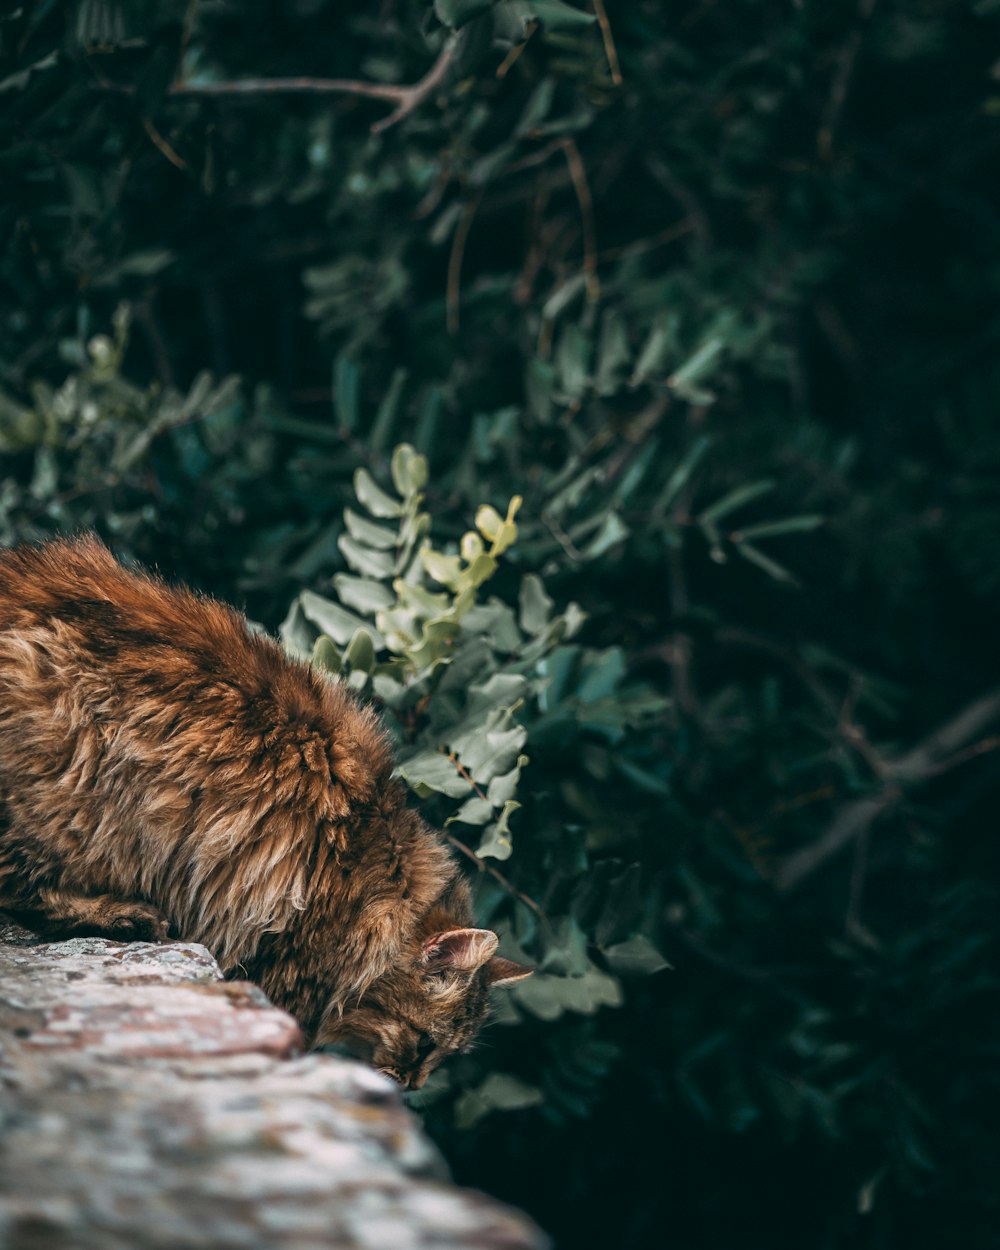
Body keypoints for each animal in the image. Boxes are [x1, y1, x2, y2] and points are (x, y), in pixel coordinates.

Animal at [0, 535, 530, 1085]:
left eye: (442, 1057)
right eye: (424, 1043)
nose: (412, 1087)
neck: (379, 865)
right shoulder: (285, 956)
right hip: (80, 780)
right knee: (20, 883)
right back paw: (128, 917)